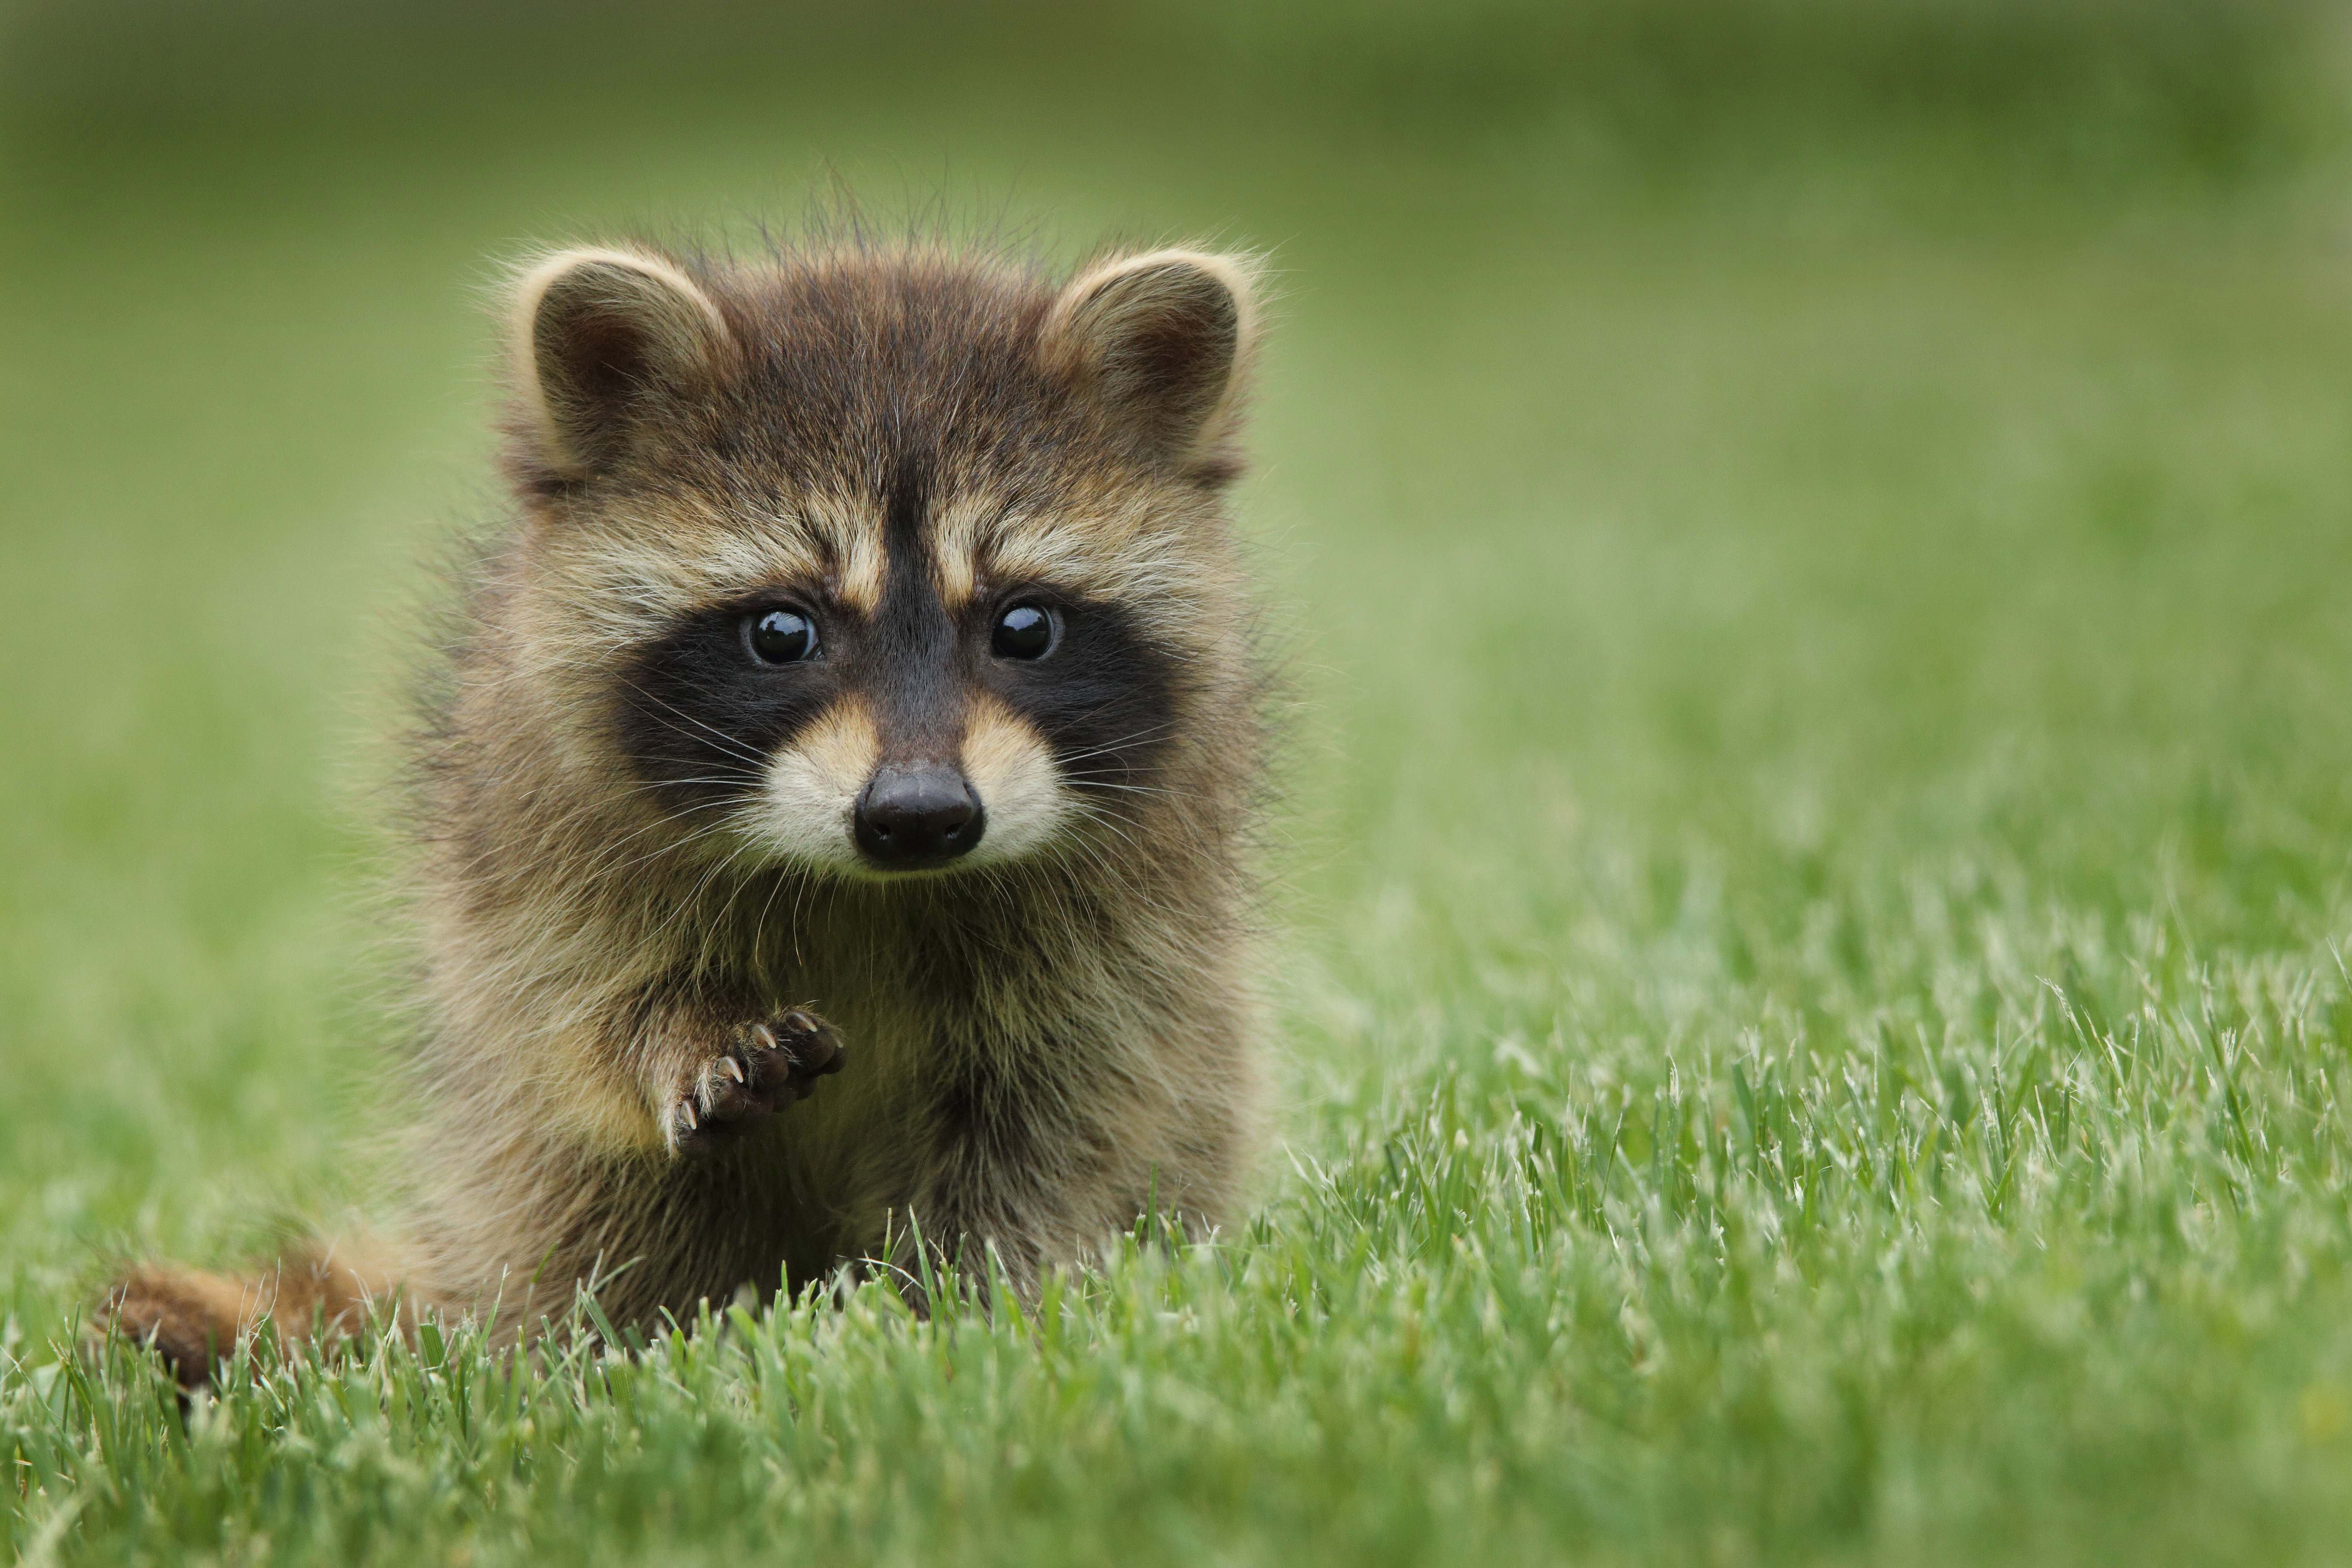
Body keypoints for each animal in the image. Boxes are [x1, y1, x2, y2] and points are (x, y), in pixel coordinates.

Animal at [110, 233, 1279, 1382]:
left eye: (1024, 626)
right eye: (781, 631)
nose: (918, 816)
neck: (873, 887)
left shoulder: (1130, 926)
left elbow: (1060, 1117)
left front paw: (957, 1309)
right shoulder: (533, 829)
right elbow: (579, 1011)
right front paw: (676, 1036)